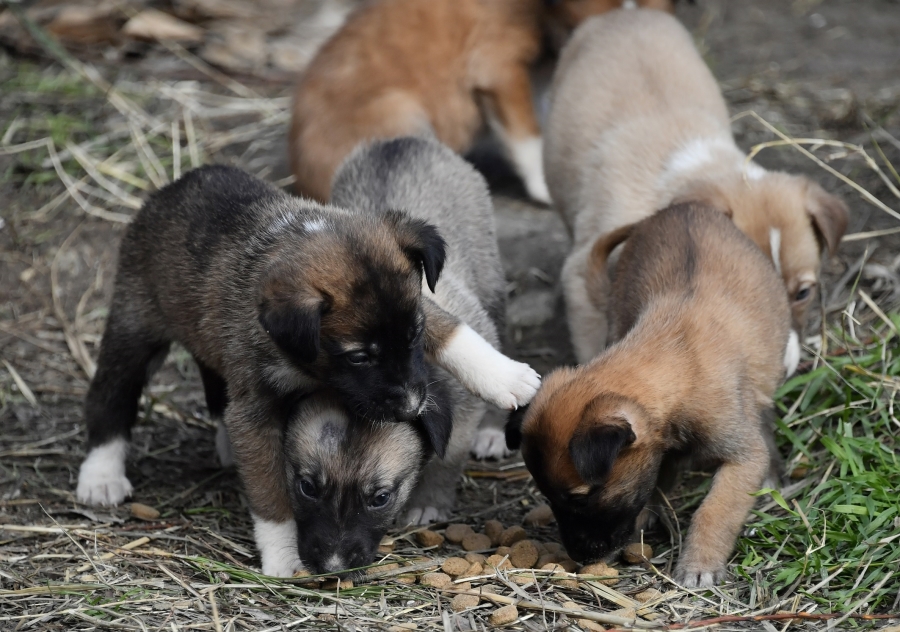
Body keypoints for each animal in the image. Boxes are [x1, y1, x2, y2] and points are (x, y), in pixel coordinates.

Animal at [334, 137, 520, 524]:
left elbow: (446, 459)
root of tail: (407, 140)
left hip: (492, 288)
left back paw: (493, 432)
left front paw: (427, 503)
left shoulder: (463, 409)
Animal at [510, 202, 792, 588]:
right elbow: (657, 476)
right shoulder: (658, 446)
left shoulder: (742, 456)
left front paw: (699, 563)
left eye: (581, 498)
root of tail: (685, 206)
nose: (579, 557)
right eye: (548, 498)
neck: (679, 359)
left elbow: (715, 510)